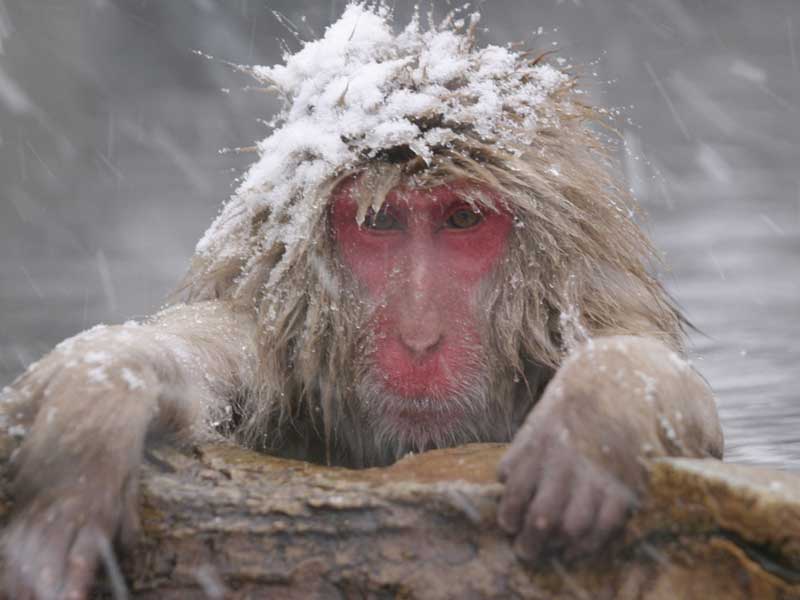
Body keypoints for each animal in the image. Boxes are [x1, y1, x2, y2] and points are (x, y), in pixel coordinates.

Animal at [1, 3, 724, 596]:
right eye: (381, 222)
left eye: (462, 219)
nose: (420, 336)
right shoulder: (275, 345)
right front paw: (93, 405)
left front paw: (601, 408)